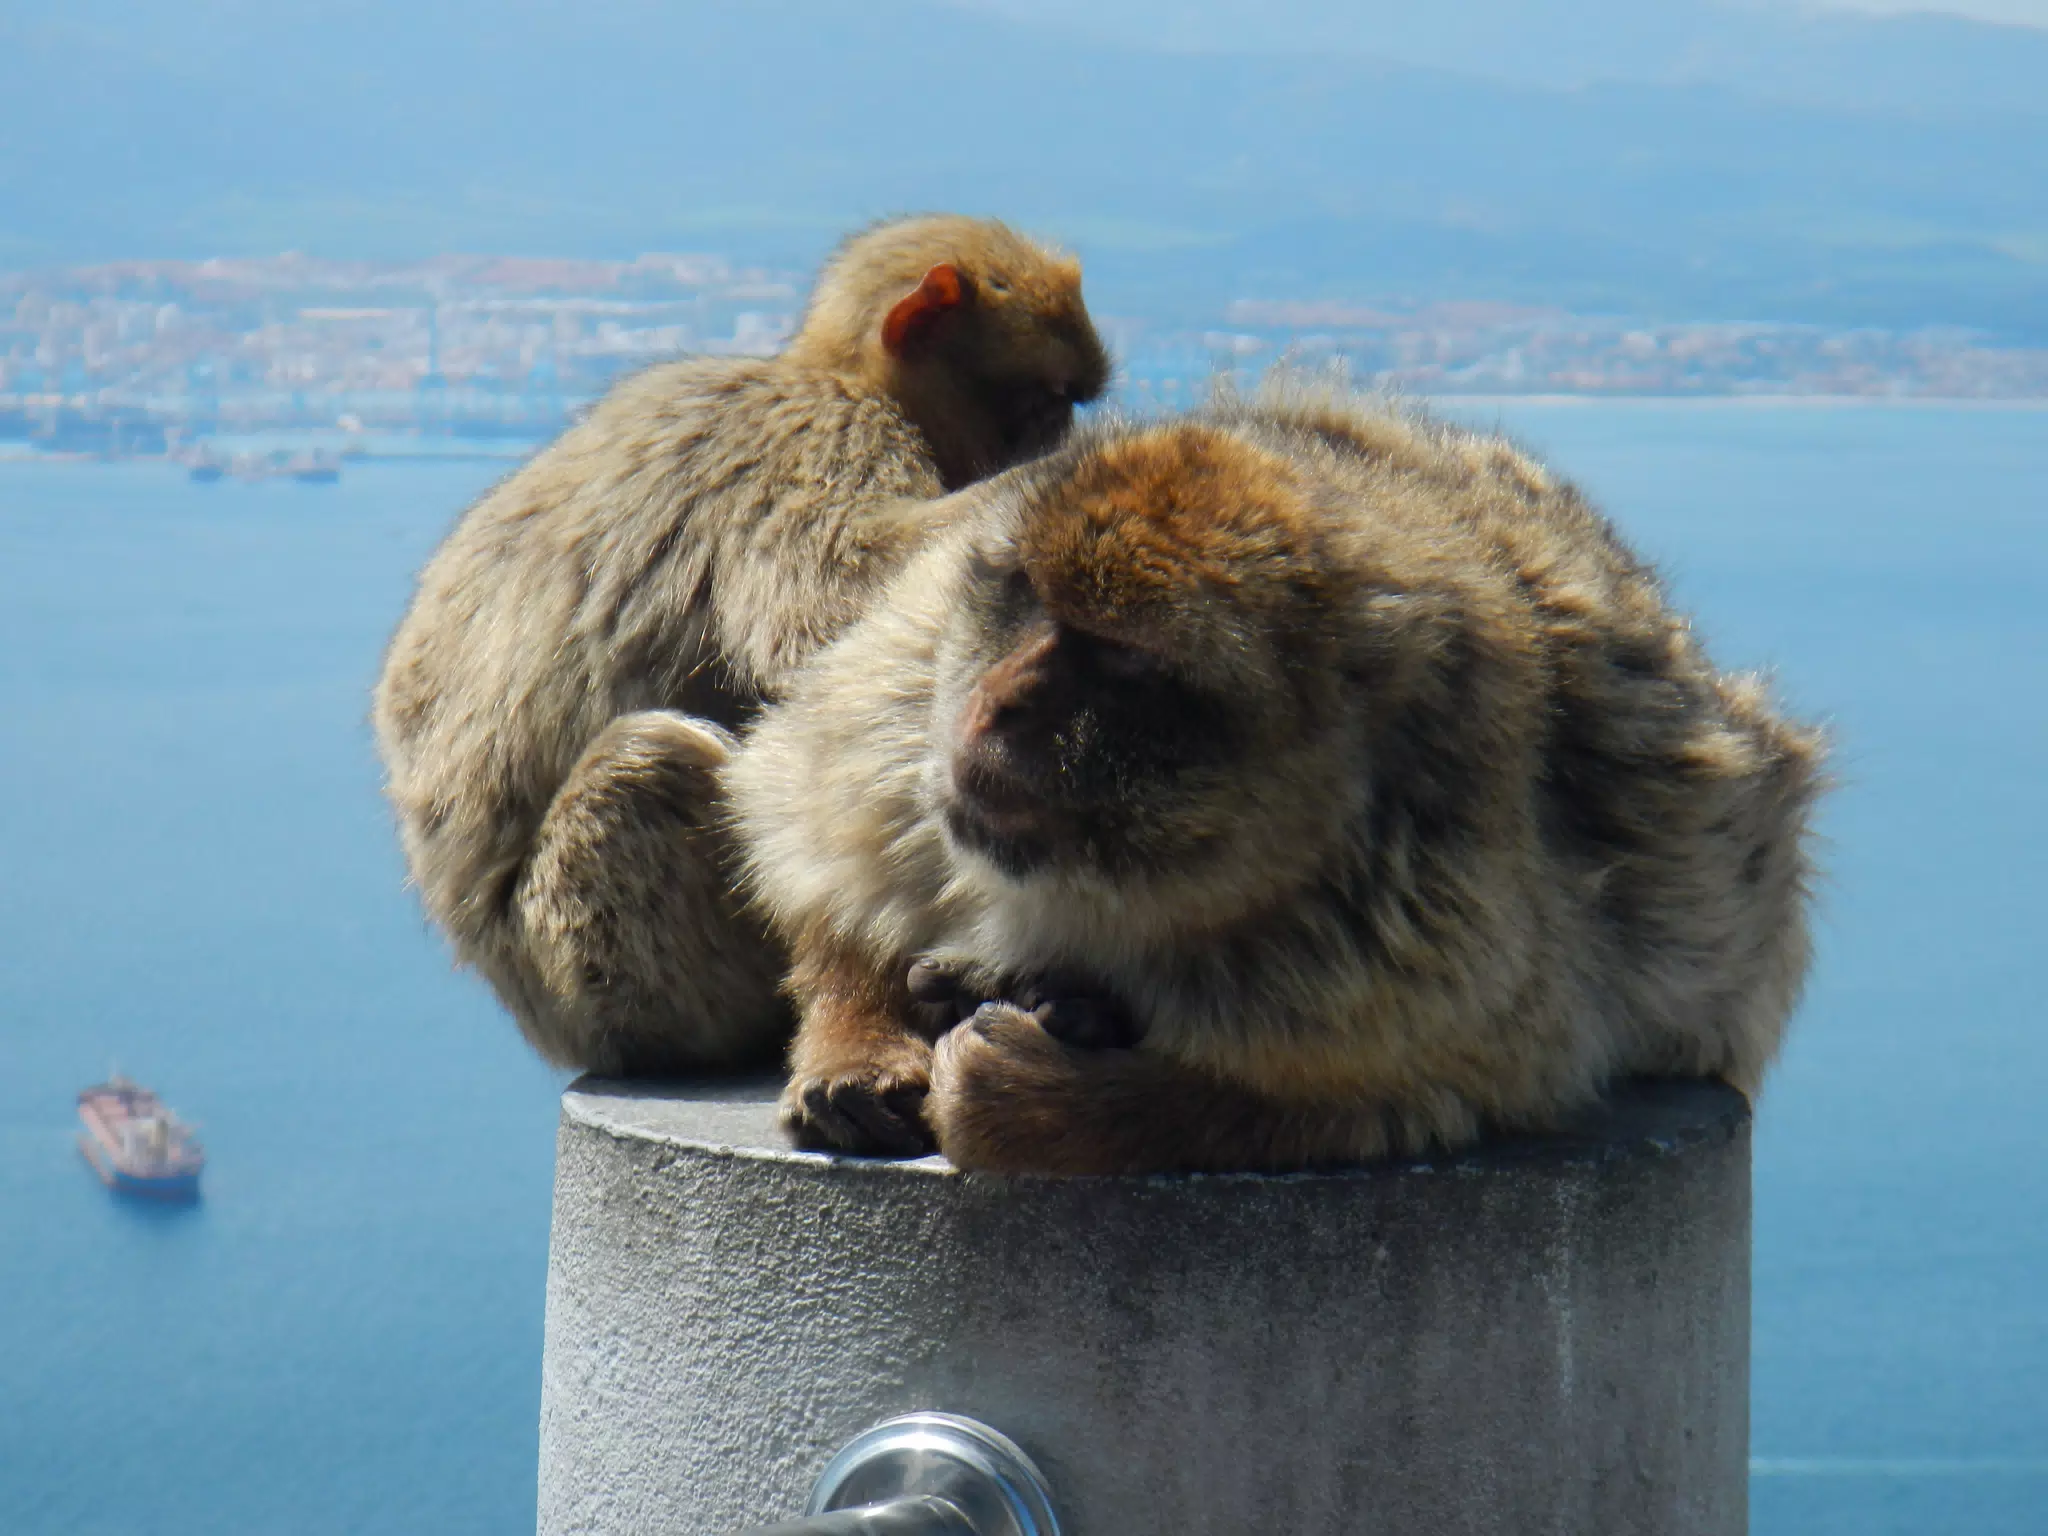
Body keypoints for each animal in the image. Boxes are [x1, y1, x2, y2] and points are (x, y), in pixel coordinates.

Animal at [371, 215, 1110, 1080]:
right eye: (1047, 402)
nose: (1058, 437)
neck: (828, 373)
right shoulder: (823, 431)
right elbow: (826, 619)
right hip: (597, 977)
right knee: (648, 766)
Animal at [725, 388, 1828, 1171]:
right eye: (1026, 598)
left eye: (1119, 664)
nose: (999, 703)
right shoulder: (901, 692)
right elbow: (822, 849)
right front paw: (859, 1033)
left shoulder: (1420, 906)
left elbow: (1423, 1090)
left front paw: (1037, 1099)